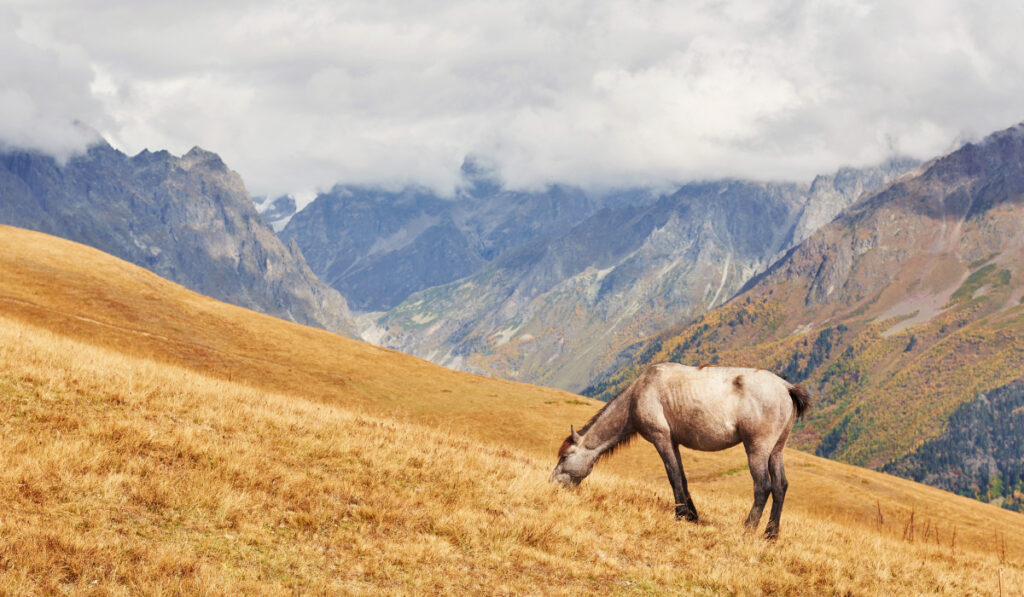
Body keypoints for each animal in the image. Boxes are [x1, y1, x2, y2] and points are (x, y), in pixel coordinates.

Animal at [552, 362, 806, 540]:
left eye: (564, 456)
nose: (552, 482)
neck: (639, 393)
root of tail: (786, 387)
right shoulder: (674, 442)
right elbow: (682, 477)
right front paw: (692, 515)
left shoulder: (661, 438)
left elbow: (673, 475)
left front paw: (681, 514)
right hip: (776, 450)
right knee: (780, 486)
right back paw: (771, 534)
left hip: (757, 449)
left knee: (763, 486)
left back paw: (748, 529)